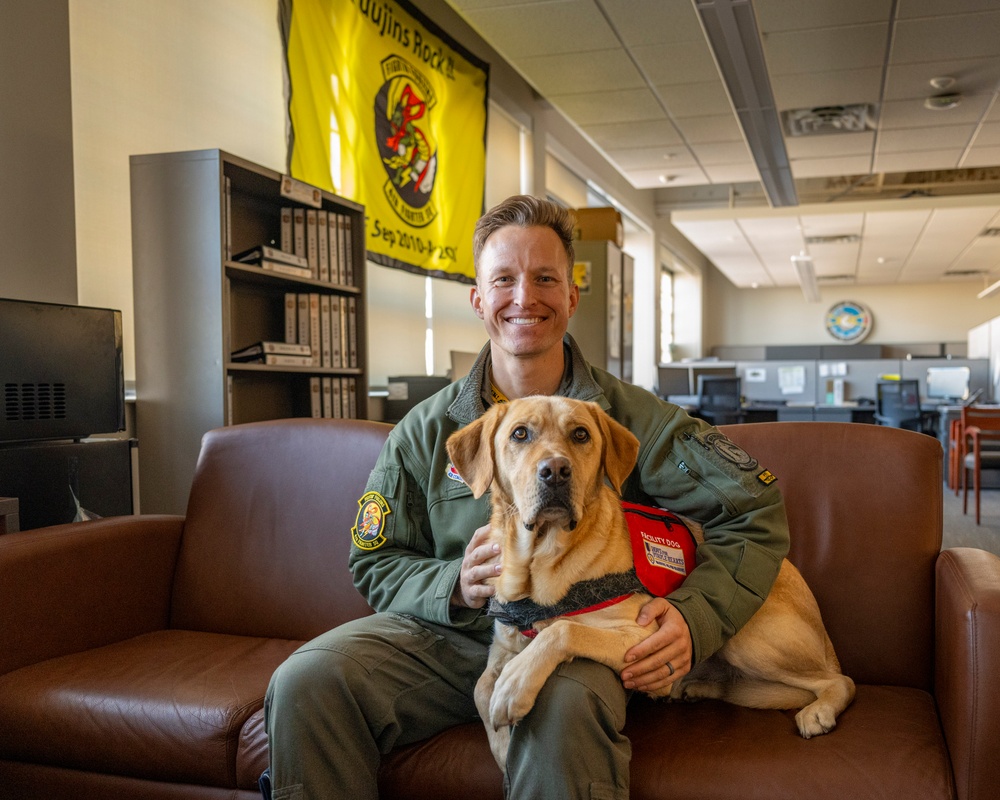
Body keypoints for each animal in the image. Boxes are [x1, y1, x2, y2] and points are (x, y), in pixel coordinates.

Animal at [446, 396, 852, 764]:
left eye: (580, 434)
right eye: (519, 434)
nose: (556, 471)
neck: (537, 563)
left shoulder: (644, 637)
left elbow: (562, 630)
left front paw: (514, 686)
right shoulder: (503, 645)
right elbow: (480, 688)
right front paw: (501, 747)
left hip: (745, 636)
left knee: (839, 682)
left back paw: (818, 710)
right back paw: (697, 686)